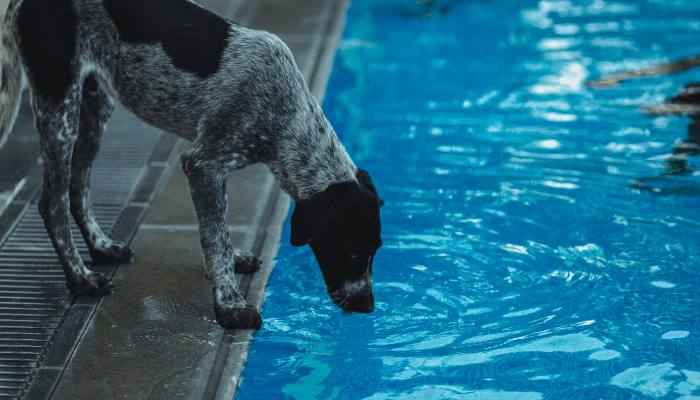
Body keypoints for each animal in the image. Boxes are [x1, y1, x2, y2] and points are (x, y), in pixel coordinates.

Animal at [0, 0, 382, 332]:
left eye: (375, 251)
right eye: (351, 253)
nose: (368, 307)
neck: (287, 115)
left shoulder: (216, 169)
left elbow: (219, 229)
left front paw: (232, 264)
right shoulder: (203, 163)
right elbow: (216, 239)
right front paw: (229, 305)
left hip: (96, 105)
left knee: (78, 188)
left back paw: (101, 248)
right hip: (59, 104)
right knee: (52, 203)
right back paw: (80, 278)